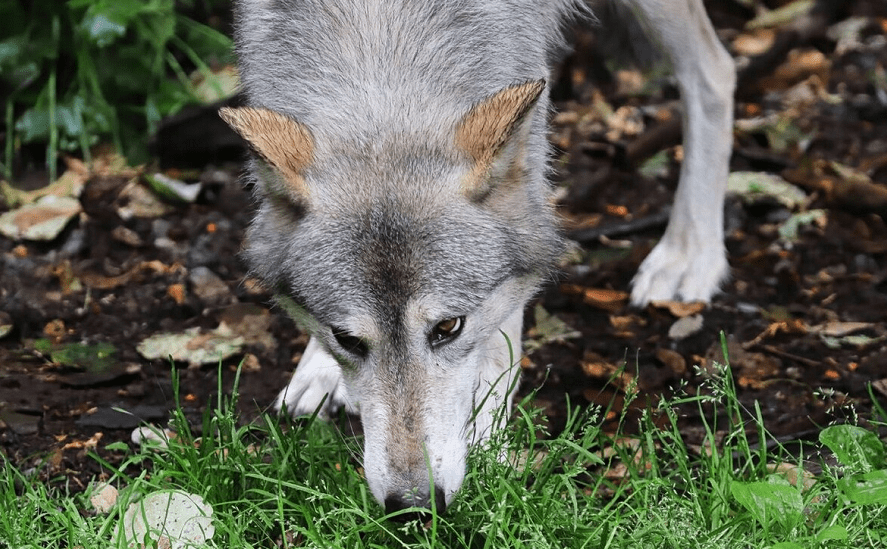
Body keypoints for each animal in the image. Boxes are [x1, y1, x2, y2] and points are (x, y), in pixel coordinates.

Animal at [222, 0, 736, 512]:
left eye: (448, 327)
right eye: (347, 339)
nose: (412, 503)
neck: (380, 36)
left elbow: (497, 351)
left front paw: (489, 458)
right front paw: (321, 368)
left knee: (713, 72)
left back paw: (691, 254)